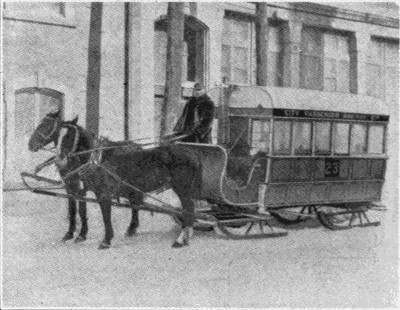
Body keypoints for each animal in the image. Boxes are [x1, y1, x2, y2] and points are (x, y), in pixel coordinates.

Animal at [29, 111, 202, 249]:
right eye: (43, 124)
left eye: (68, 136)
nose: (61, 160)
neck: (96, 159)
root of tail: (192, 153)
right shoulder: (76, 188)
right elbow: (78, 210)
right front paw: (76, 234)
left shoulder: (101, 193)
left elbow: (104, 215)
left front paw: (104, 240)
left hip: (182, 190)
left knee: (188, 211)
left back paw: (180, 239)